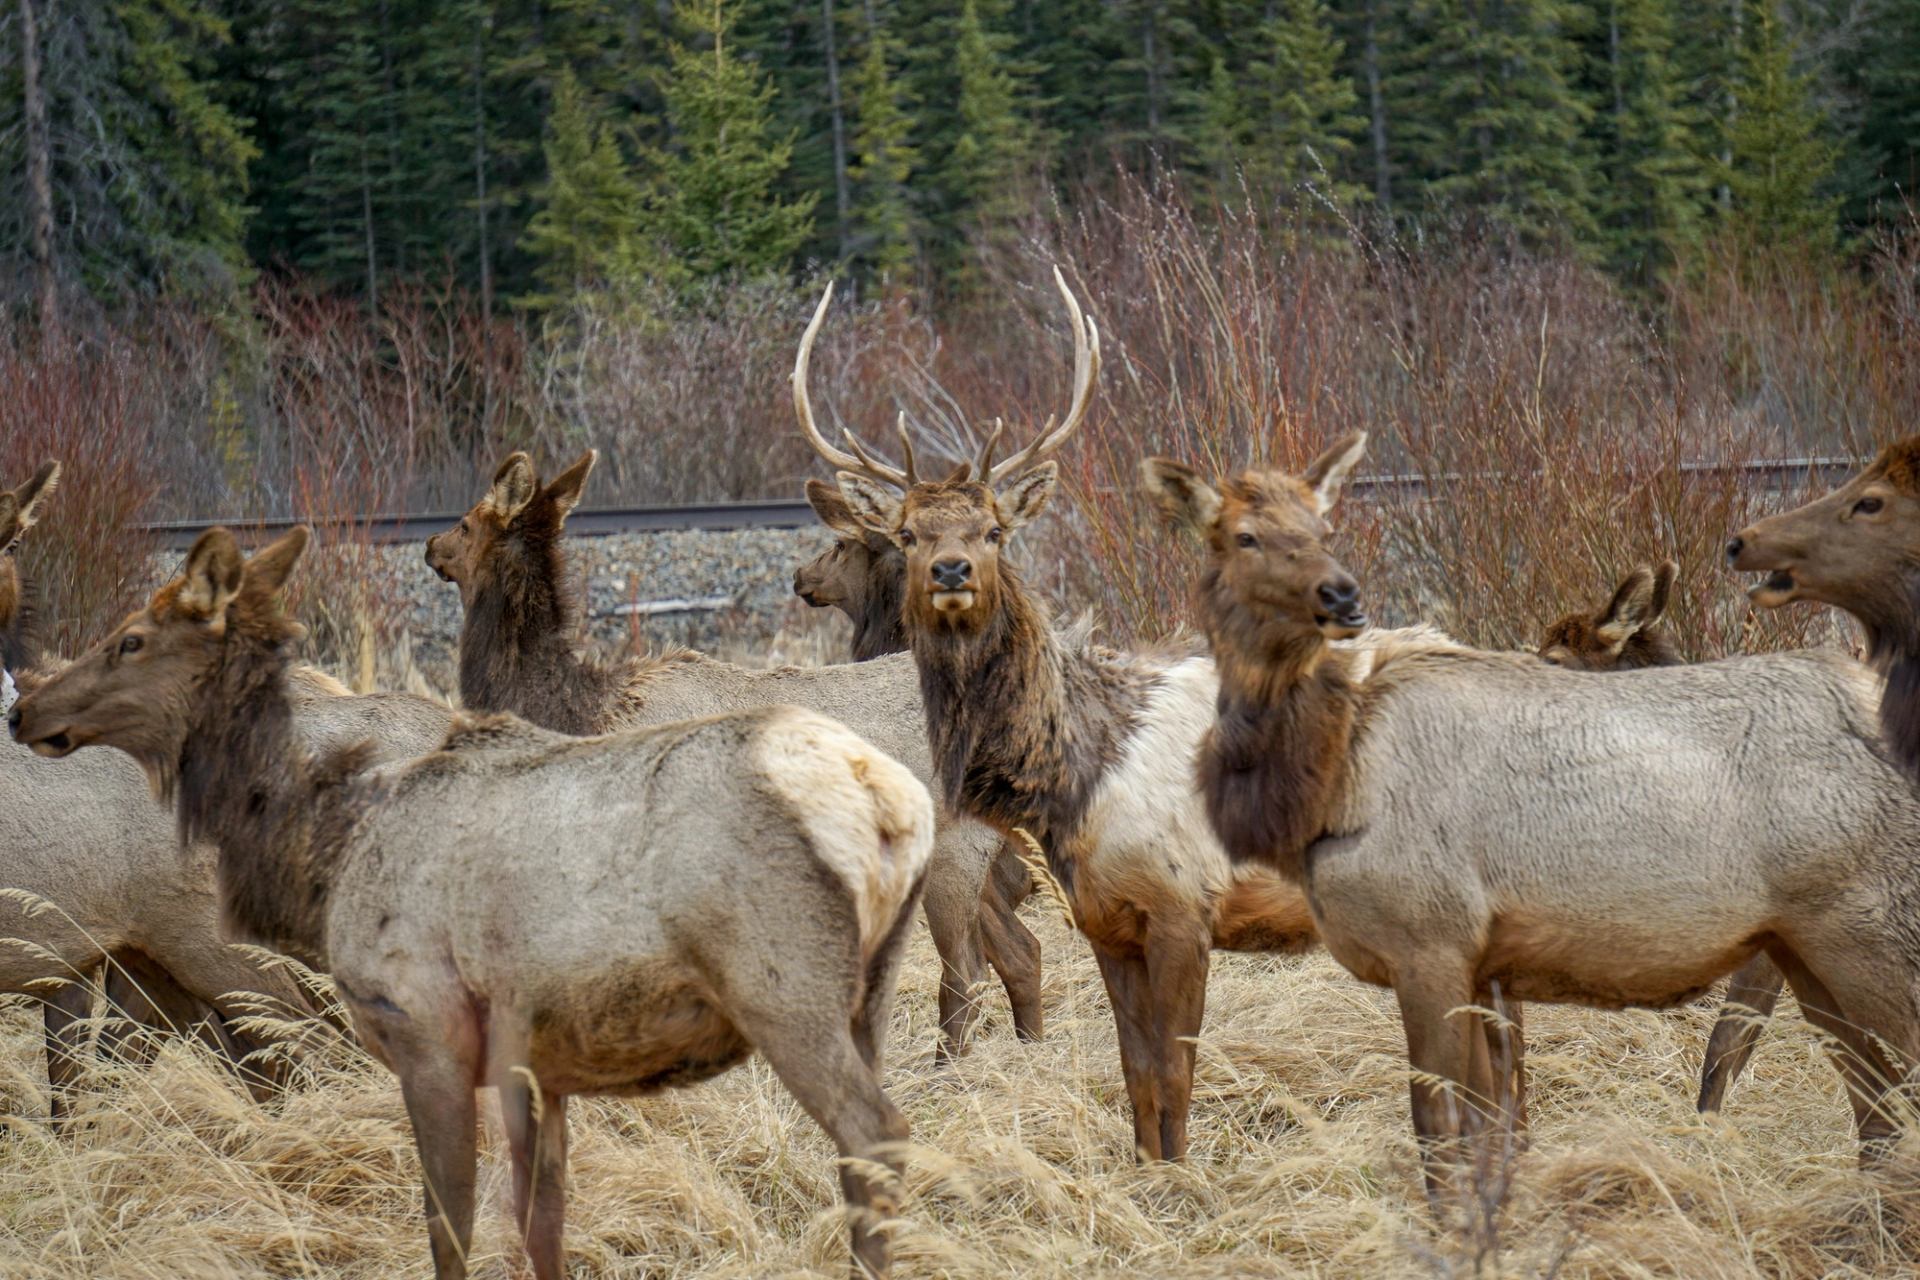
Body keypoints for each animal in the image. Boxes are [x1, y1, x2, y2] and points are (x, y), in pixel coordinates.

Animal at [12, 525, 934, 1280]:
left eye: (130, 639)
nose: (25, 708)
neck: (328, 849)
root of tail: (895, 804)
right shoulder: (538, 1062)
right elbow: (540, 1224)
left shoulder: (429, 1031)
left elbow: (448, 1224)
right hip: (871, 995)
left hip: (784, 988)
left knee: (876, 1133)